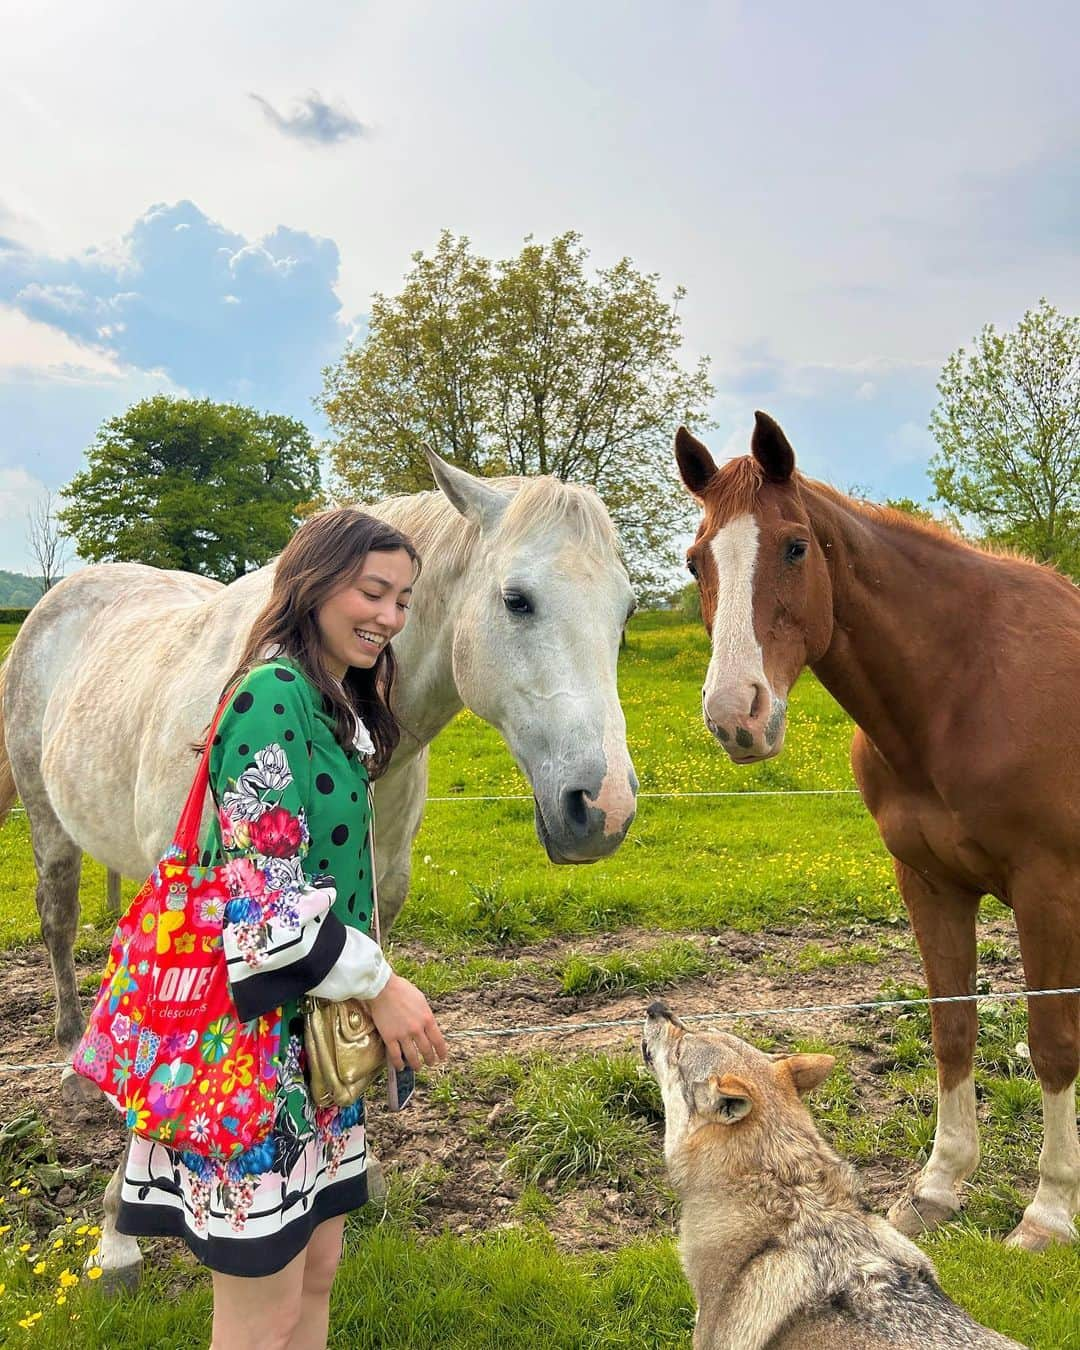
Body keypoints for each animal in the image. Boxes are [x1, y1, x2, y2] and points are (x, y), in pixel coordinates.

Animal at [0, 453, 637, 1285]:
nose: (605, 808)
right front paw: (117, 1232)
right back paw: (77, 1064)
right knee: (58, 921)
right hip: (48, 823)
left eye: (626, 612)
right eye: (516, 599)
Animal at [675, 413, 1080, 1252]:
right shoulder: (929, 884)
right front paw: (937, 1187)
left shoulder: (1049, 890)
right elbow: (953, 1027)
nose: (736, 716)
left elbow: (1053, 1043)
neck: (968, 687)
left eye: (795, 546)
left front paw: (1050, 1214)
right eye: (696, 561)